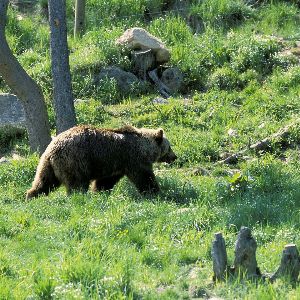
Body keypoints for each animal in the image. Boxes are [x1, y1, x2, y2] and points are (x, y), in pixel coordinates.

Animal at [26, 125, 176, 199]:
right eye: (169, 147)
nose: (175, 156)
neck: (145, 148)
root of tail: (52, 149)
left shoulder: (116, 165)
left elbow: (105, 181)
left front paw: (99, 191)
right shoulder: (133, 159)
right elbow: (144, 177)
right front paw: (156, 192)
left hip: (48, 165)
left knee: (44, 182)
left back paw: (31, 196)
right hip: (76, 160)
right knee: (77, 184)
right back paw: (78, 198)